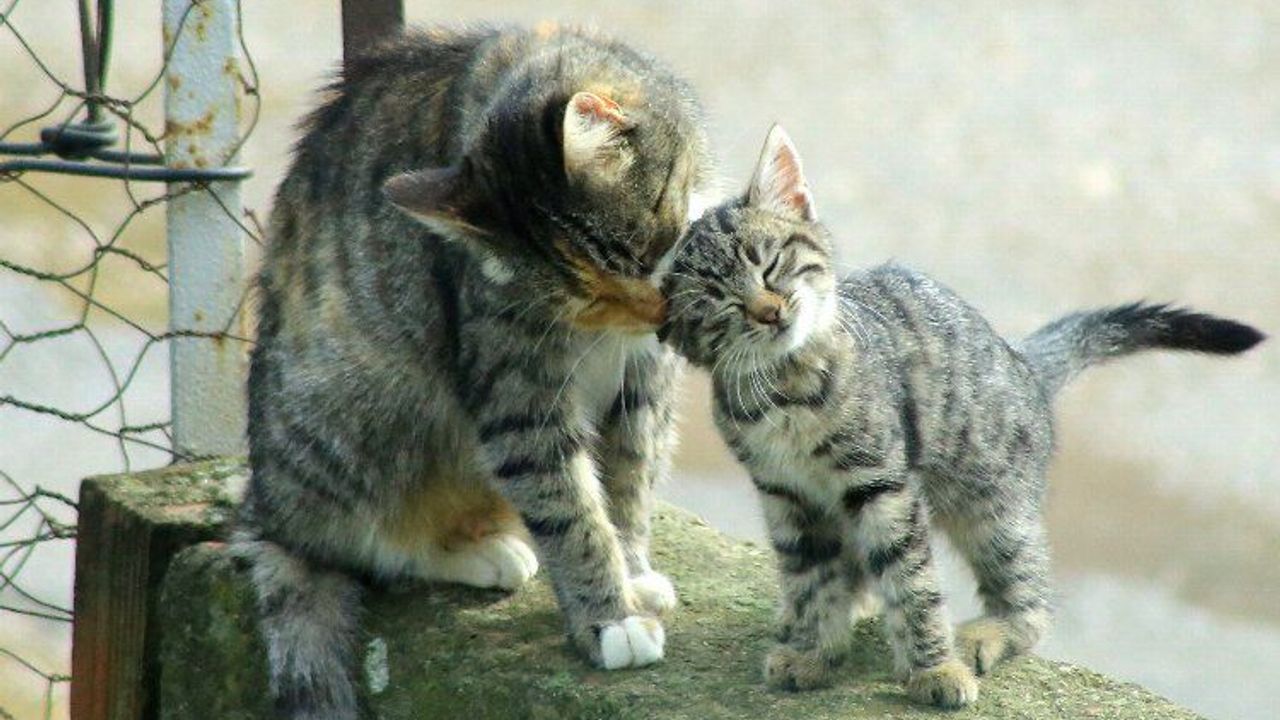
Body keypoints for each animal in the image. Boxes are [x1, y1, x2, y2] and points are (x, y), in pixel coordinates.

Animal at [231, 25, 710, 719]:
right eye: (587, 299)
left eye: (645, 255)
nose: (656, 316)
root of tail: (267, 513)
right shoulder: (517, 388)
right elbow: (568, 505)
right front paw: (610, 619)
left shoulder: (641, 382)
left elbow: (627, 479)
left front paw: (632, 571)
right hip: (375, 403)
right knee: (370, 543)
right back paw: (479, 554)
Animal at [658, 125, 1264, 708]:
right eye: (719, 303)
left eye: (771, 263)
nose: (770, 311)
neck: (785, 388)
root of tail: (1025, 364)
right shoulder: (788, 497)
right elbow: (812, 581)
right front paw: (813, 650)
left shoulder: (883, 485)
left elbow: (912, 582)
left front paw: (933, 669)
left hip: (992, 507)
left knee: (1033, 600)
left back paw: (990, 632)